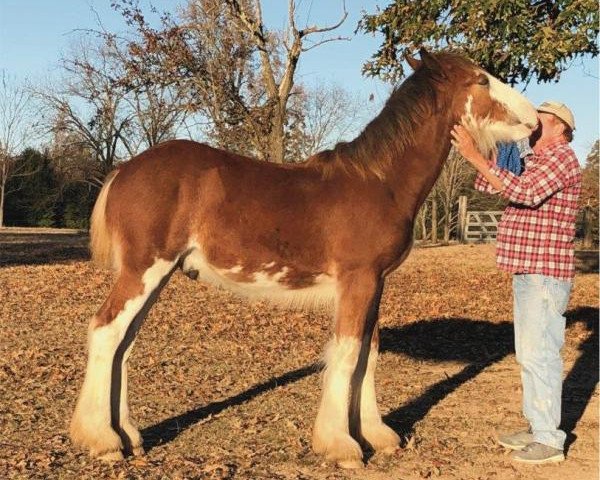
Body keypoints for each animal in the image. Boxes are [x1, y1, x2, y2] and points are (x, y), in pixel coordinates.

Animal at [70, 49, 540, 468]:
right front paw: (342, 446)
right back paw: (103, 441)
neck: (380, 182)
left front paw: (377, 435)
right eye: (481, 80)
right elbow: (348, 353)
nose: (535, 121)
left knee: (124, 343)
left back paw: (128, 436)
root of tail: (124, 170)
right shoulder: (358, 280)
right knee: (107, 331)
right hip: (145, 269)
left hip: (158, 274)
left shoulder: (375, 283)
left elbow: (369, 353)